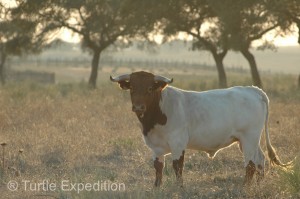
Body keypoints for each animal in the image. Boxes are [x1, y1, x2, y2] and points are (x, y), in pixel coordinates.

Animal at [110, 70, 290, 186]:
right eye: (132, 88)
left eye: (149, 88)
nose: (138, 107)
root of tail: (252, 89)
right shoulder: (156, 148)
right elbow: (158, 168)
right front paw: (157, 188)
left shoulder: (178, 144)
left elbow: (178, 167)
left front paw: (179, 188)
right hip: (247, 141)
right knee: (260, 160)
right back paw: (258, 185)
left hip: (249, 138)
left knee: (251, 164)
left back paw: (245, 187)